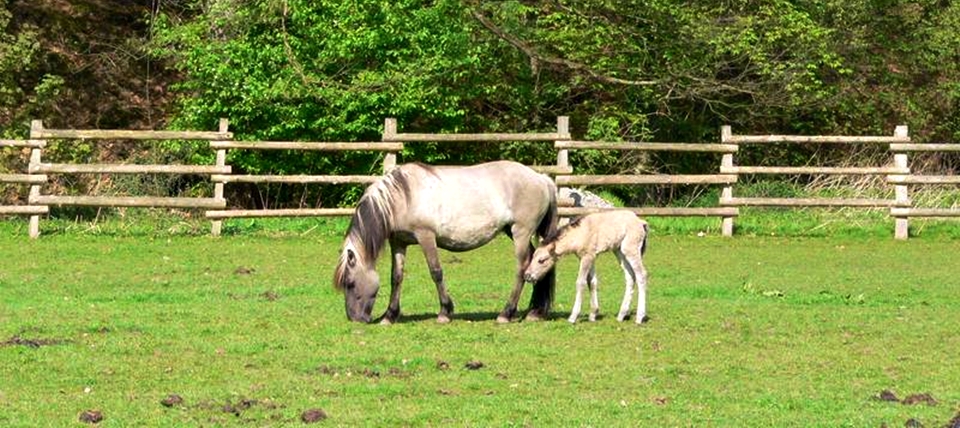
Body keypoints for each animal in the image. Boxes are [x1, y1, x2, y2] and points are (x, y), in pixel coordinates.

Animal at [334, 160, 560, 324]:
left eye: (350, 283)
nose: (355, 319)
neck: (402, 197)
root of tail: (541, 179)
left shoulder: (426, 237)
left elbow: (436, 272)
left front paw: (444, 312)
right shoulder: (398, 242)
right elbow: (396, 277)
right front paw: (389, 316)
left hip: (521, 232)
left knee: (522, 268)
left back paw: (506, 313)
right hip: (514, 232)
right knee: (536, 261)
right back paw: (534, 312)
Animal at [520, 211, 648, 324]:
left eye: (541, 260)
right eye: (533, 257)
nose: (527, 276)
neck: (580, 233)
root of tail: (641, 222)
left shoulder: (587, 257)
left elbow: (580, 282)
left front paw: (573, 317)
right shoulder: (589, 257)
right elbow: (592, 282)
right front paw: (593, 314)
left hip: (631, 249)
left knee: (641, 275)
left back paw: (639, 317)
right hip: (619, 251)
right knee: (630, 276)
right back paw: (621, 315)